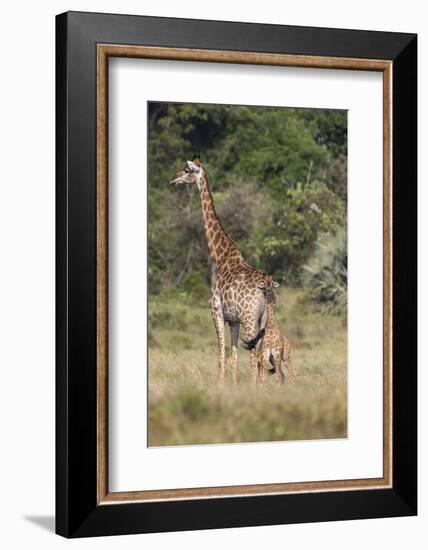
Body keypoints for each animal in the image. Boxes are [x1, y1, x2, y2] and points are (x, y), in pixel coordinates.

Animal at [170, 157, 268, 386]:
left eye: (186, 170)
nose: (173, 179)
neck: (220, 255)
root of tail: (266, 288)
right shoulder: (233, 320)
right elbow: (233, 356)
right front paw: (232, 385)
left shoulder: (216, 312)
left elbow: (221, 354)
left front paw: (221, 385)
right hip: (264, 320)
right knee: (261, 354)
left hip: (250, 320)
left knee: (254, 355)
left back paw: (254, 387)